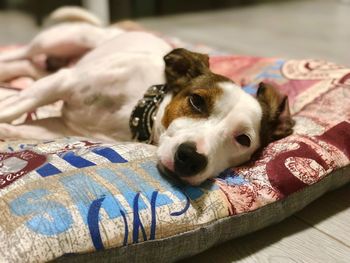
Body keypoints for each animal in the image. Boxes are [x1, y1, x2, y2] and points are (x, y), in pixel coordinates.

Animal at [0, 8, 296, 186]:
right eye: (197, 101)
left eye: (243, 139)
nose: (190, 158)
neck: (137, 108)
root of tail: (114, 29)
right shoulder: (63, 81)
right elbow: (15, 107)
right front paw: (7, 107)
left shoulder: (61, 126)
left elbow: (22, 126)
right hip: (62, 40)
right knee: (22, 54)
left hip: (50, 65)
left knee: (28, 67)